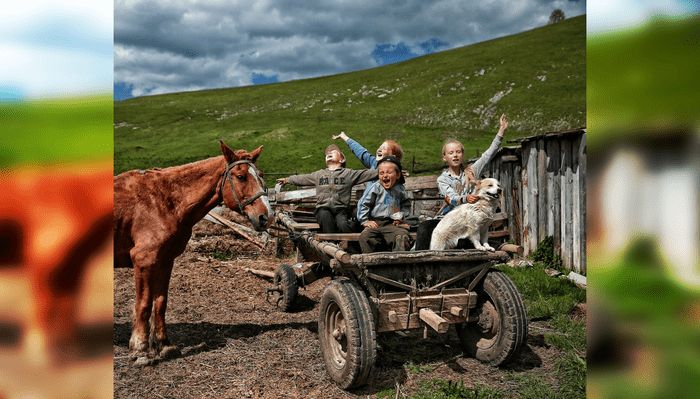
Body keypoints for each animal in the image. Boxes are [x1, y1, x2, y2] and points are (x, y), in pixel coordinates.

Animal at [113, 141, 272, 366]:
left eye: (261, 174)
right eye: (241, 176)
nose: (266, 217)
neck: (164, 201)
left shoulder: (165, 261)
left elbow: (160, 303)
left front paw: (165, 345)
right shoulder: (144, 260)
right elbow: (143, 305)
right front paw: (140, 350)